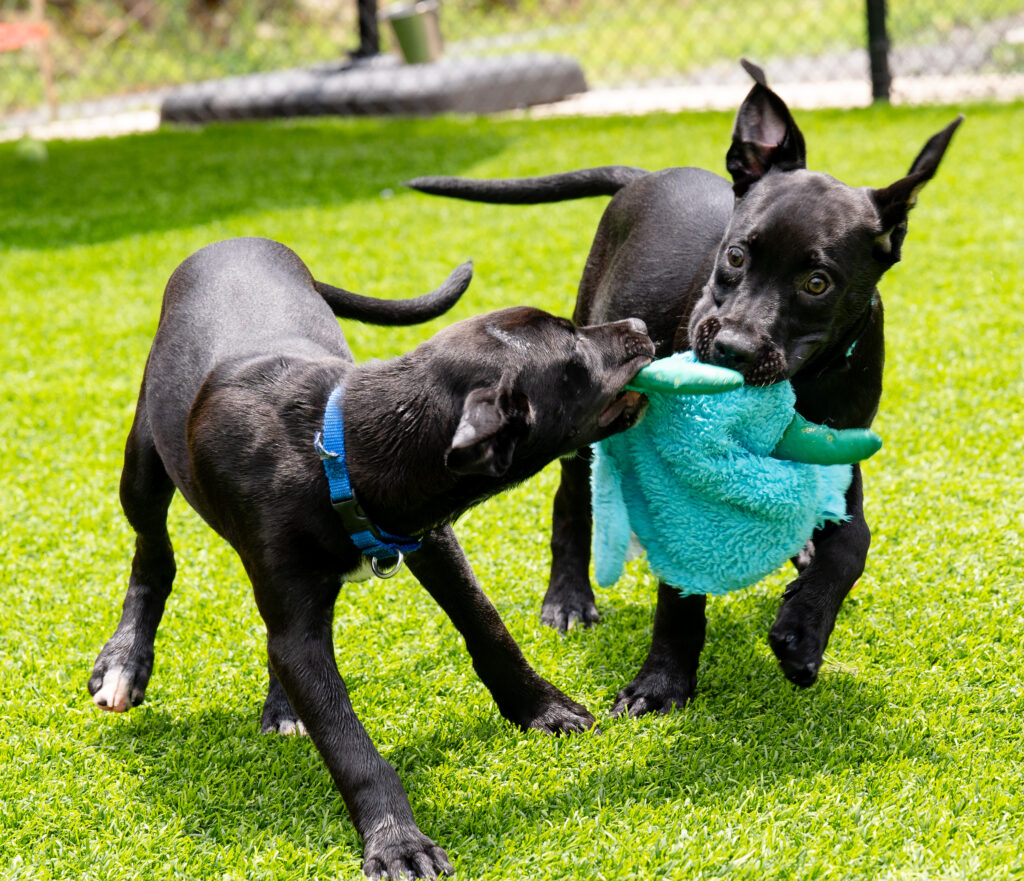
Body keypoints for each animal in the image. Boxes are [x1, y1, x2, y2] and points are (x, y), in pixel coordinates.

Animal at [86, 235, 647, 881]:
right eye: (573, 349)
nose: (640, 325)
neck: (339, 451)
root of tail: (239, 239)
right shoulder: (304, 611)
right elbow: (348, 740)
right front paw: (397, 841)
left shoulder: (428, 539)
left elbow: (488, 626)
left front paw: (544, 709)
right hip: (144, 463)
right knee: (154, 556)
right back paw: (124, 662)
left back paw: (281, 706)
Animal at [405, 63, 958, 717]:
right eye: (735, 255)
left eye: (818, 282)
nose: (731, 350)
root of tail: (644, 176)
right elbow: (679, 590)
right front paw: (663, 683)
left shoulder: (843, 452)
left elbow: (854, 543)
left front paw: (803, 632)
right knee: (569, 503)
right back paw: (568, 599)